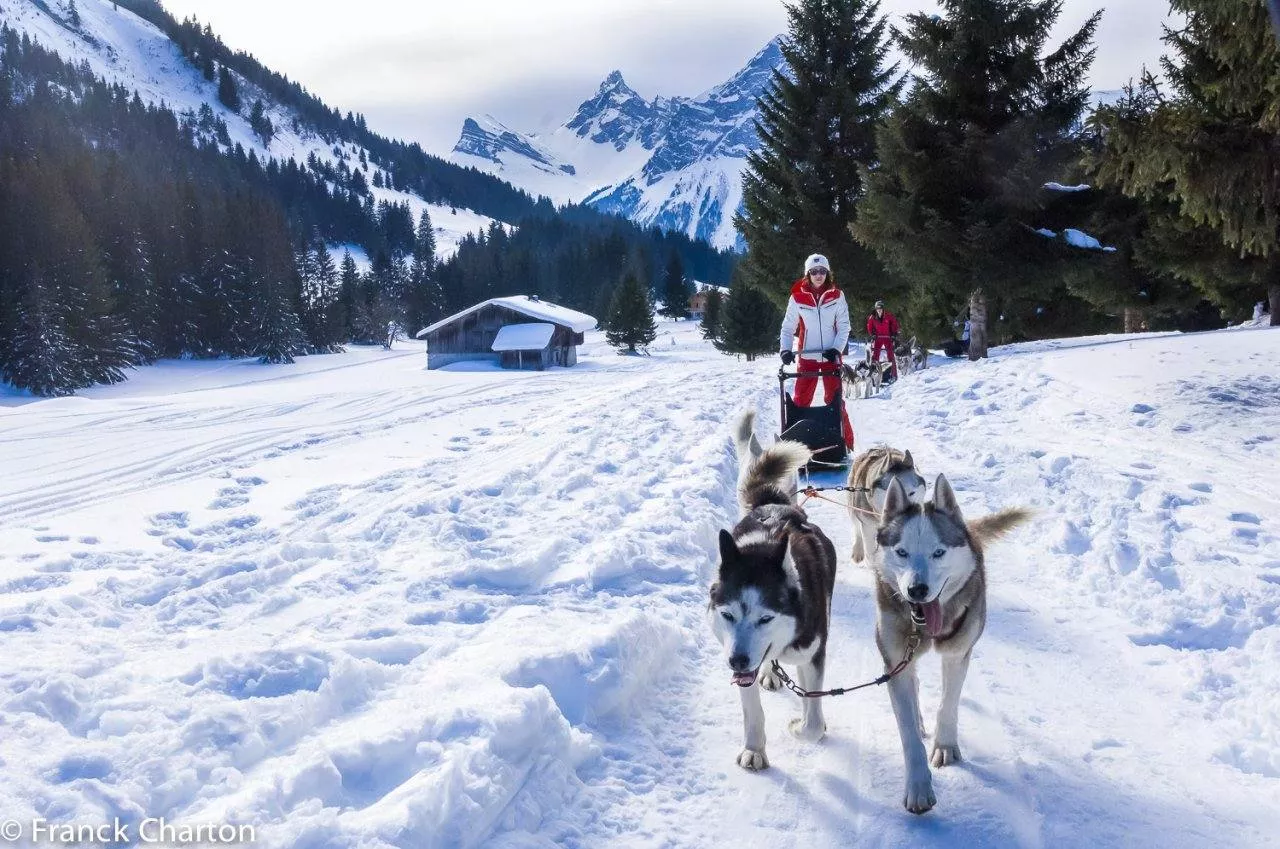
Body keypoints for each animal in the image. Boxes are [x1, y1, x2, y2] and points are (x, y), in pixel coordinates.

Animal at [711, 412, 839, 768]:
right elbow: (752, 711)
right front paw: (754, 749)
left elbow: (812, 721)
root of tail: (774, 503)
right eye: (727, 615)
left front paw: (802, 725)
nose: (737, 661)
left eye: (766, 618)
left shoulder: (814, 653)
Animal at [870, 473, 1029, 814]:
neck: (924, 629)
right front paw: (918, 786)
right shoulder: (894, 662)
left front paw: (944, 745)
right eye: (902, 552)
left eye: (939, 553)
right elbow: (908, 731)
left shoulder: (958, 654)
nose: (917, 590)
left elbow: (948, 703)